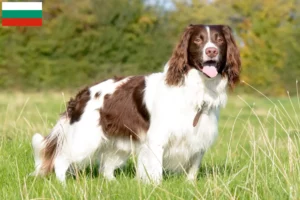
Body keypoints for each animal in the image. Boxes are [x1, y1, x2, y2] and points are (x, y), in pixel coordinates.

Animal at [31, 24, 241, 184]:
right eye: (198, 40)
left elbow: (193, 168)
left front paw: (190, 185)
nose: (211, 50)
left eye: (220, 40)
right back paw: (63, 185)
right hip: (84, 139)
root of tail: (83, 93)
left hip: (116, 143)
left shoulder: (199, 139)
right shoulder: (157, 139)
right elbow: (155, 171)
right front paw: (157, 188)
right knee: (60, 160)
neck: (197, 89)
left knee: (106, 169)